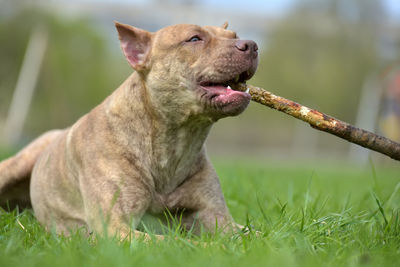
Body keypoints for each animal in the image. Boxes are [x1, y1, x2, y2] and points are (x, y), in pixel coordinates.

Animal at [0, 21, 260, 241]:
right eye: (194, 38)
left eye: (234, 36)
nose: (252, 45)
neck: (174, 143)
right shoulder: (115, 228)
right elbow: (178, 243)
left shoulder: (218, 218)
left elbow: (254, 235)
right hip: (17, 164)